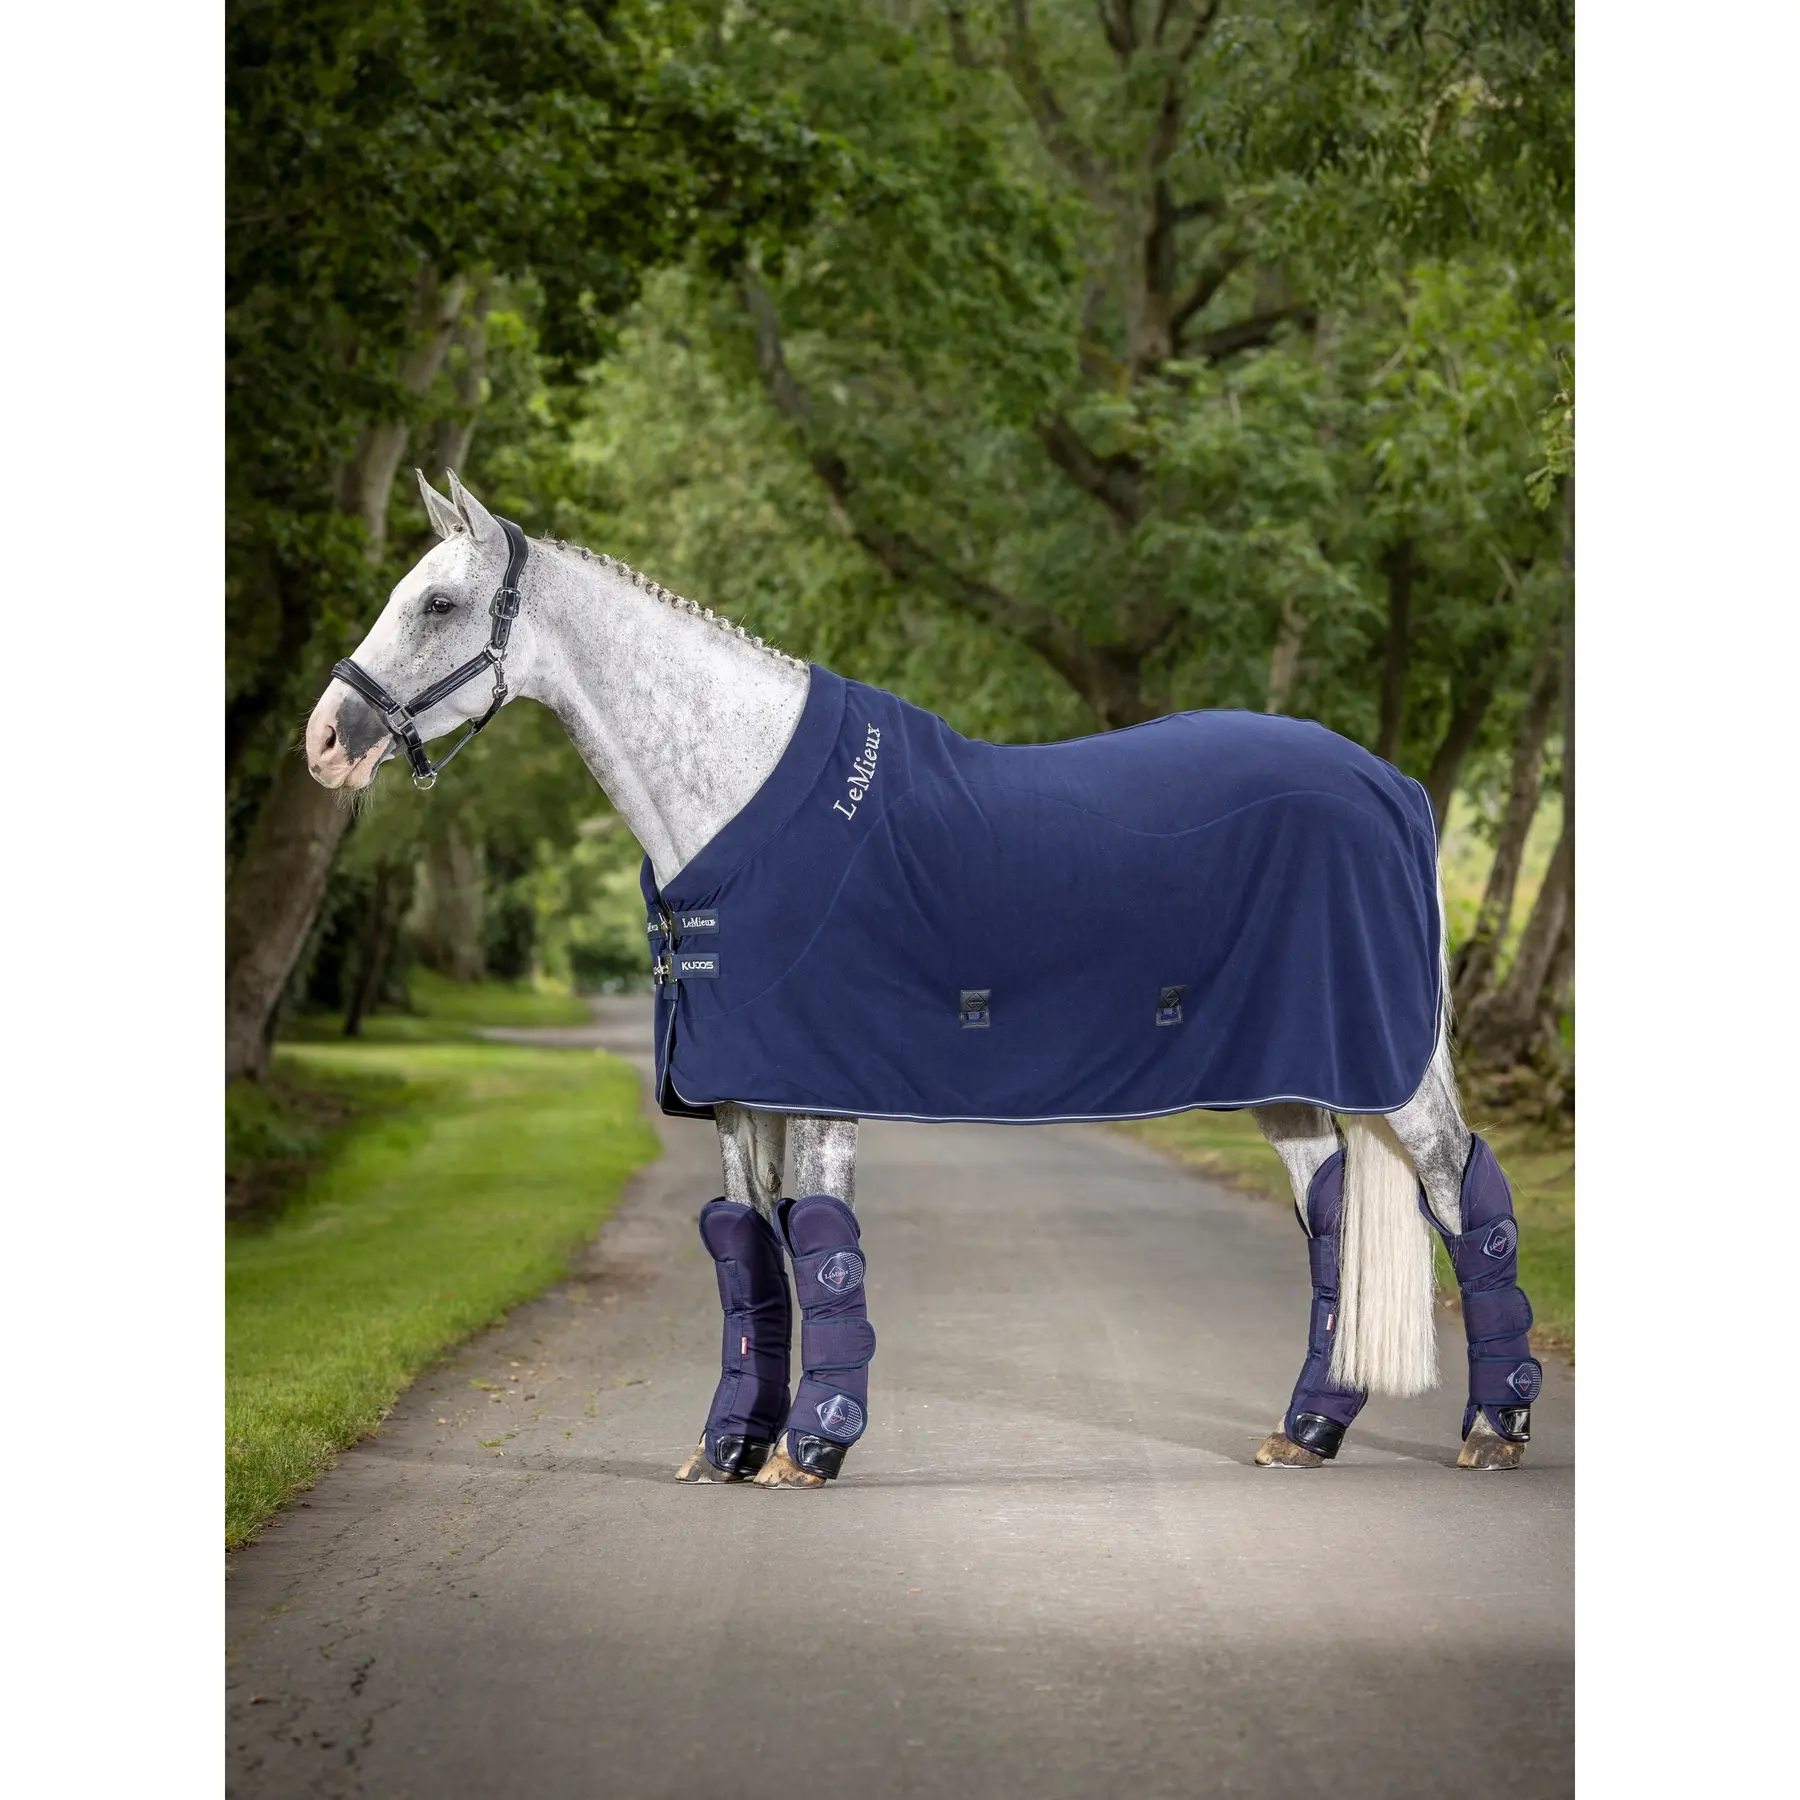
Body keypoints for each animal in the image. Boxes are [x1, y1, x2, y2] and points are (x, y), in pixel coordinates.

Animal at [304, 472, 1542, 1488]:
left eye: (438, 605)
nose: (325, 740)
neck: (739, 805)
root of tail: (1394, 788)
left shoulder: (812, 1080)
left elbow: (822, 1246)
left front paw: (811, 1447)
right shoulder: (737, 1089)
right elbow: (748, 1257)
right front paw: (729, 1446)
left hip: (1394, 1067)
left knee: (1460, 1194)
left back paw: (1494, 1429)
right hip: (1288, 1073)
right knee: (1331, 1214)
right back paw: (1308, 1430)